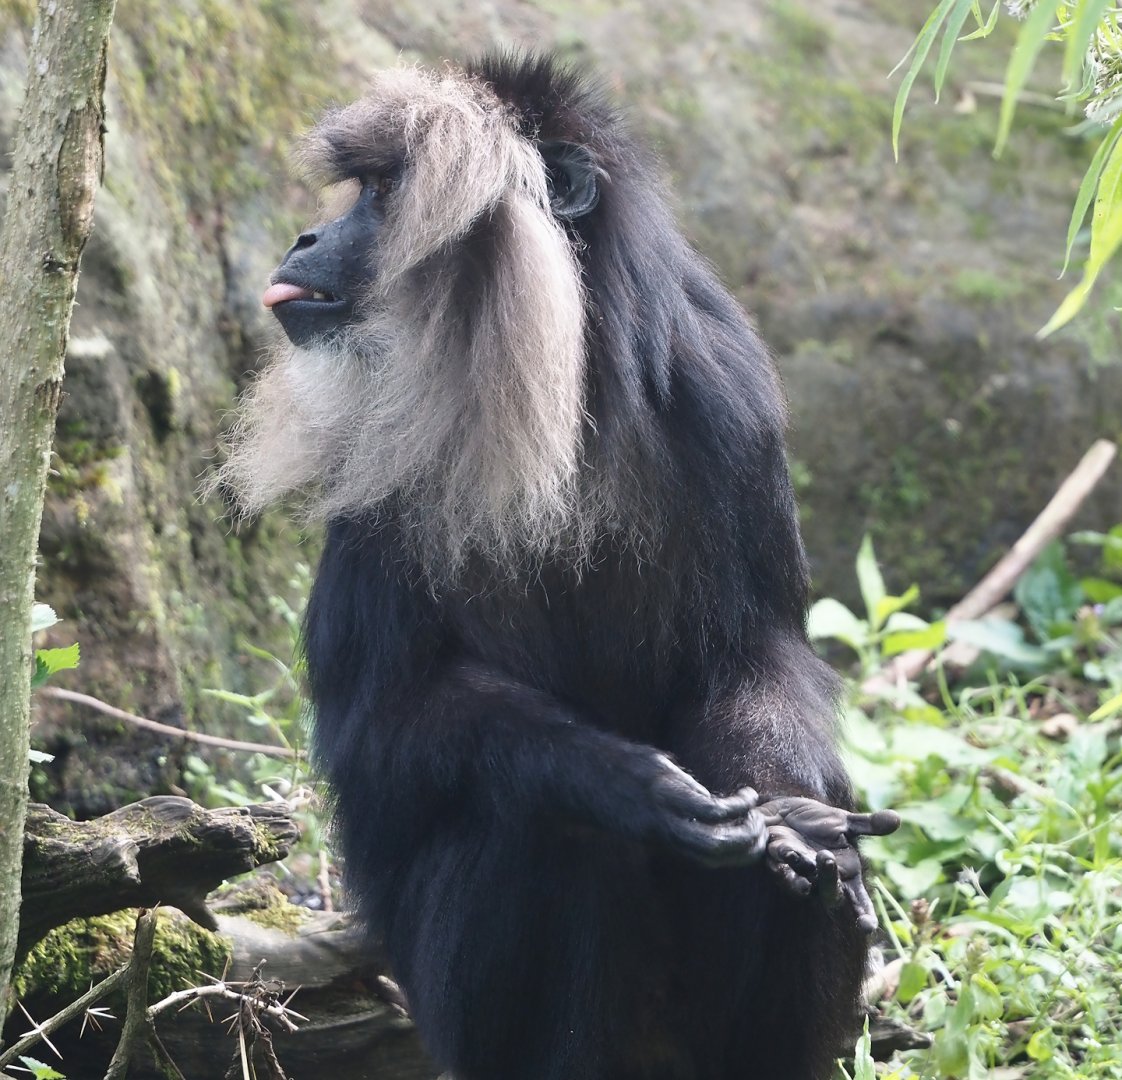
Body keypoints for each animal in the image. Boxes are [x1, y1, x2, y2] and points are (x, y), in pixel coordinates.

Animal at [214, 53, 899, 1080]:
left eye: (379, 197)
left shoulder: (725, 393)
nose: (307, 235)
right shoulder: (388, 454)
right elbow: (378, 720)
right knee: (539, 832)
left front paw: (793, 809)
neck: (575, 395)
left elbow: (761, 655)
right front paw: (624, 784)